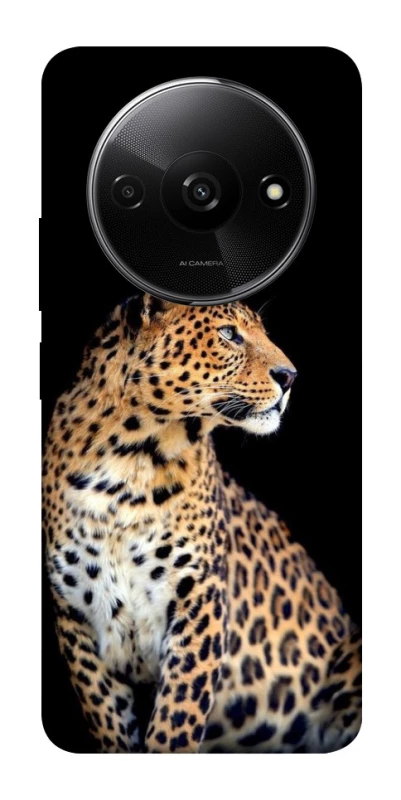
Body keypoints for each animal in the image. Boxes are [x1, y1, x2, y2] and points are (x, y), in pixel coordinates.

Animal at [43, 292, 361, 753]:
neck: (128, 462)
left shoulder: (200, 599)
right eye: (229, 333)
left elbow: (176, 719)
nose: (290, 376)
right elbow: (110, 721)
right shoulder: (76, 618)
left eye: (262, 331)